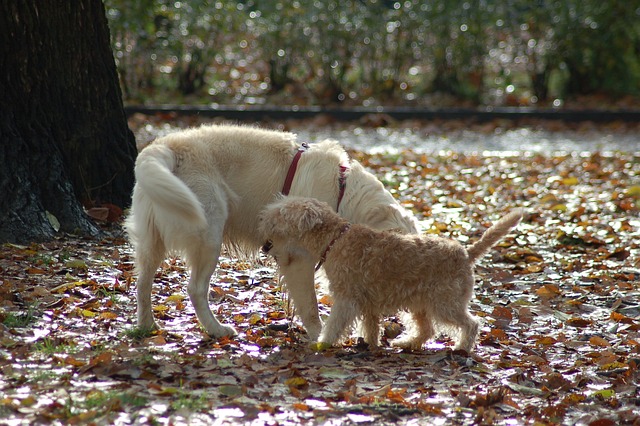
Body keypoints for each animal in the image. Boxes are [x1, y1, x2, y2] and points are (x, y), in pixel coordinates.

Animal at [125, 124, 418, 340]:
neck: (341, 193)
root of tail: (166, 147)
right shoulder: (298, 261)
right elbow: (311, 307)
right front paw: (319, 337)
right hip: (209, 236)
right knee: (195, 289)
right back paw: (217, 330)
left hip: (152, 241)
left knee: (142, 283)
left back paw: (147, 326)